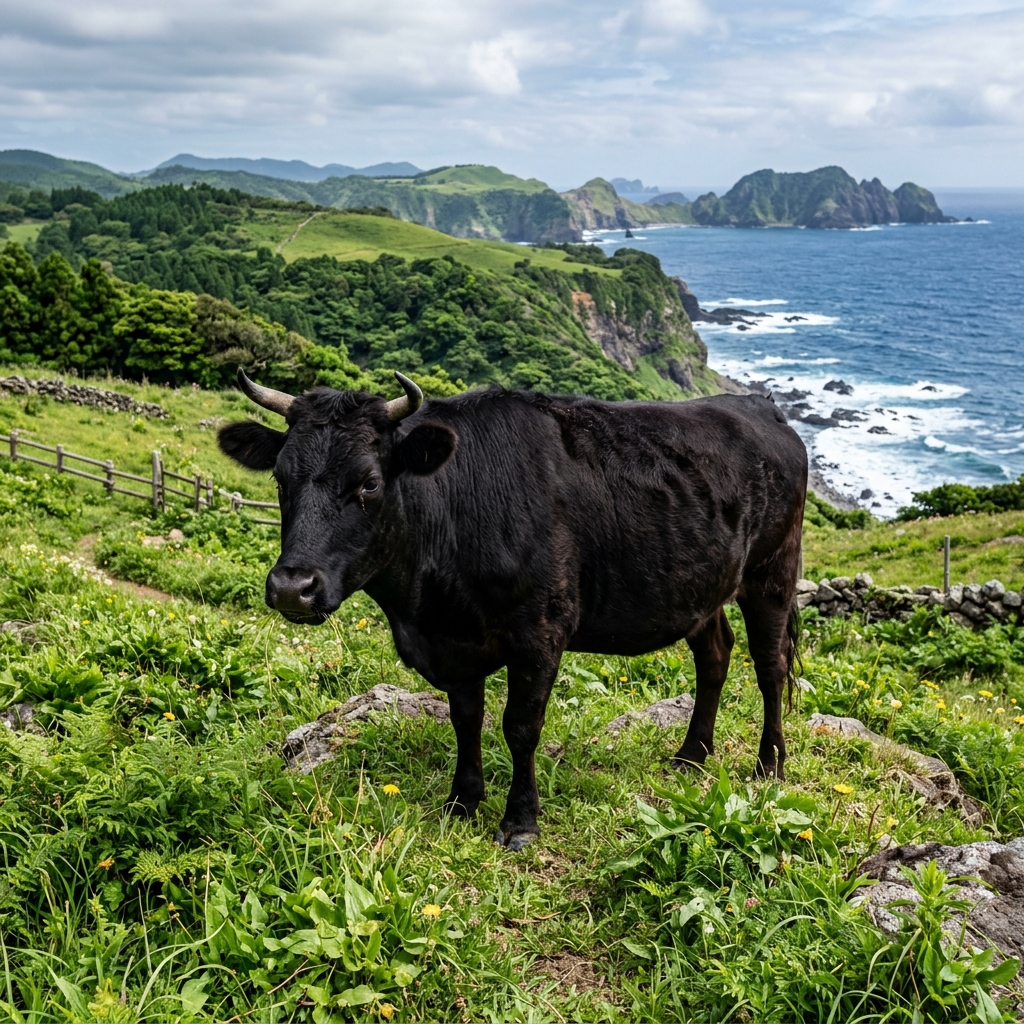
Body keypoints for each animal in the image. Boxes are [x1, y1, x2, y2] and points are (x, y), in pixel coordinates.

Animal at [219, 368, 807, 850]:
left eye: (369, 481)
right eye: (280, 478)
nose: (292, 587)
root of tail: (760, 407)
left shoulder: (540, 631)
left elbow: (520, 726)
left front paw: (520, 821)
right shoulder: (454, 643)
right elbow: (466, 719)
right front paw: (462, 801)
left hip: (772, 572)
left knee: (770, 665)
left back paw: (769, 766)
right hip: (701, 588)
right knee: (715, 656)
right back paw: (691, 754)